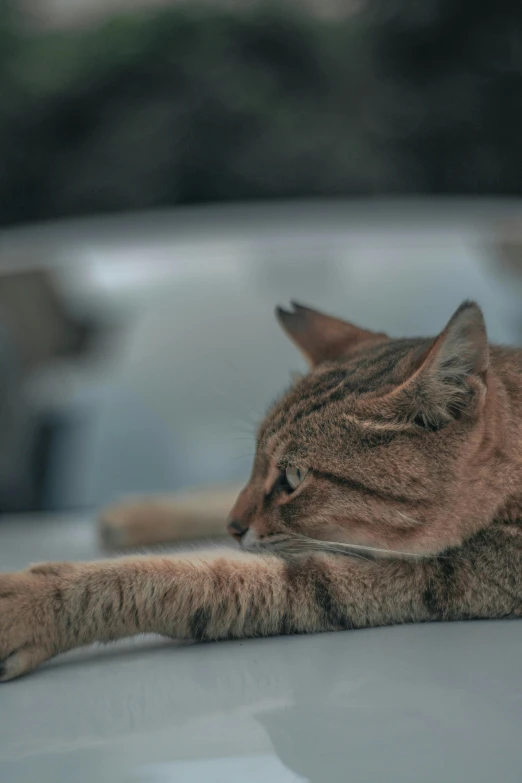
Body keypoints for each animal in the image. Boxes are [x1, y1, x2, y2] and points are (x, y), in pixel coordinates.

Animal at [1, 300, 520, 680]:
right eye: (256, 462)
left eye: (294, 478)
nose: (233, 526)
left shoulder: (430, 576)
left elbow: (190, 579)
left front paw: (31, 604)